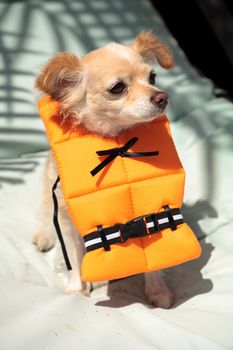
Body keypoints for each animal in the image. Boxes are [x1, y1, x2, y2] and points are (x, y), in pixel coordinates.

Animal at [32, 31, 175, 308]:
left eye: (152, 77)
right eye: (117, 87)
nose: (162, 96)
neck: (114, 139)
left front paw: (157, 290)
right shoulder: (66, 217)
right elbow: (74, 257)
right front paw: (77, 288)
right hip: (47, 191)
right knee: (45, 215)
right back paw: (44, 236)